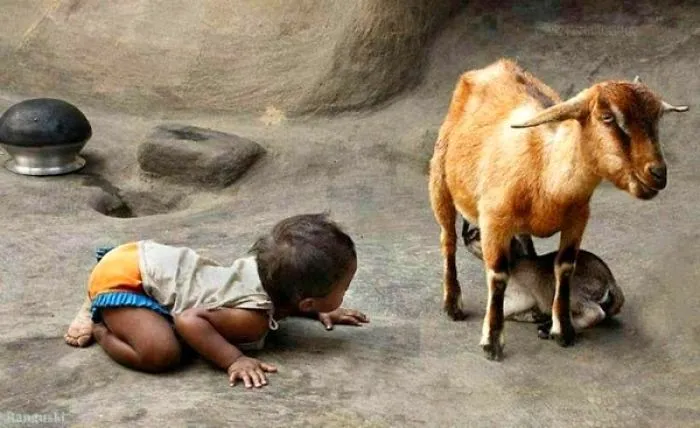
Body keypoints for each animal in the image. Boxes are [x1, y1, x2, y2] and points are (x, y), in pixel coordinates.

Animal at [461, 220, 624, 336]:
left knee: (595, 313)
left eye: (478, 235)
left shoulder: (523, 297)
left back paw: (552, 328)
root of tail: (610, 279)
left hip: (568, 292)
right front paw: (532, 316)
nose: (465, 235)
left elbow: (503, 310)